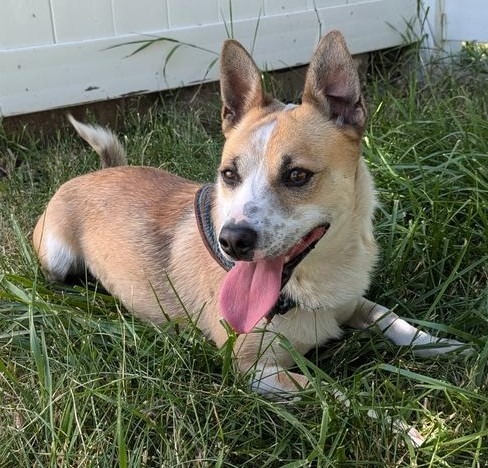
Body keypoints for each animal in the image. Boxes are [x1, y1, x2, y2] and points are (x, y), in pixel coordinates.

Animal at [31, 32, 466, 398]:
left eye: (297, 175)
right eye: (229, 175)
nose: (232, 241)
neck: (310, 286)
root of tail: (97, 172)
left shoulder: (352, 302)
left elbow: (392, 318)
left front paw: (445, 344)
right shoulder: (253, 369)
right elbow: (334, 395)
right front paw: (400, 429)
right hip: (56, 257)